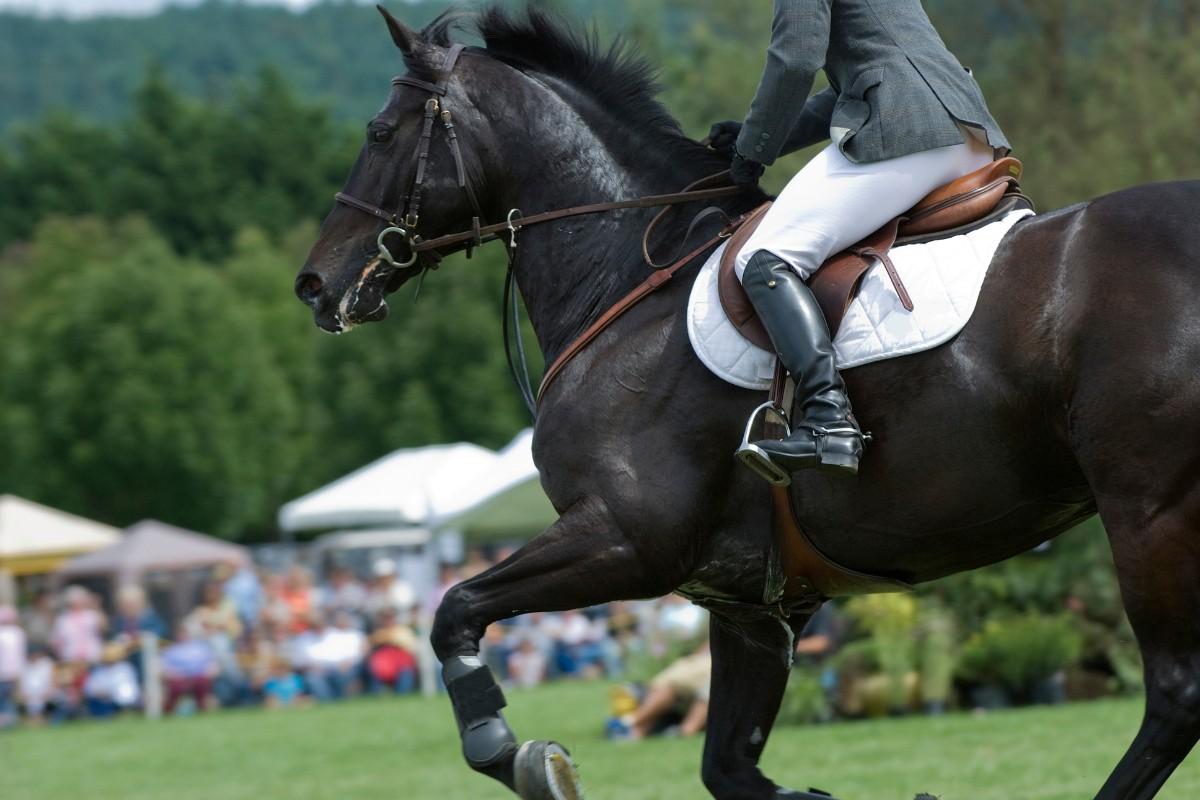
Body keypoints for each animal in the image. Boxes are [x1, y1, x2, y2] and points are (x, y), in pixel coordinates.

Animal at [295, 7, 1200, 800]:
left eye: (379, 133)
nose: (315, 285)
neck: (626, 275)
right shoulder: (750, 603)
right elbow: (730, 769)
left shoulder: (626, 540)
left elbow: (453, 609)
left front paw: (513, 755)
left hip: (1150, 512)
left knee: (1174, 694)